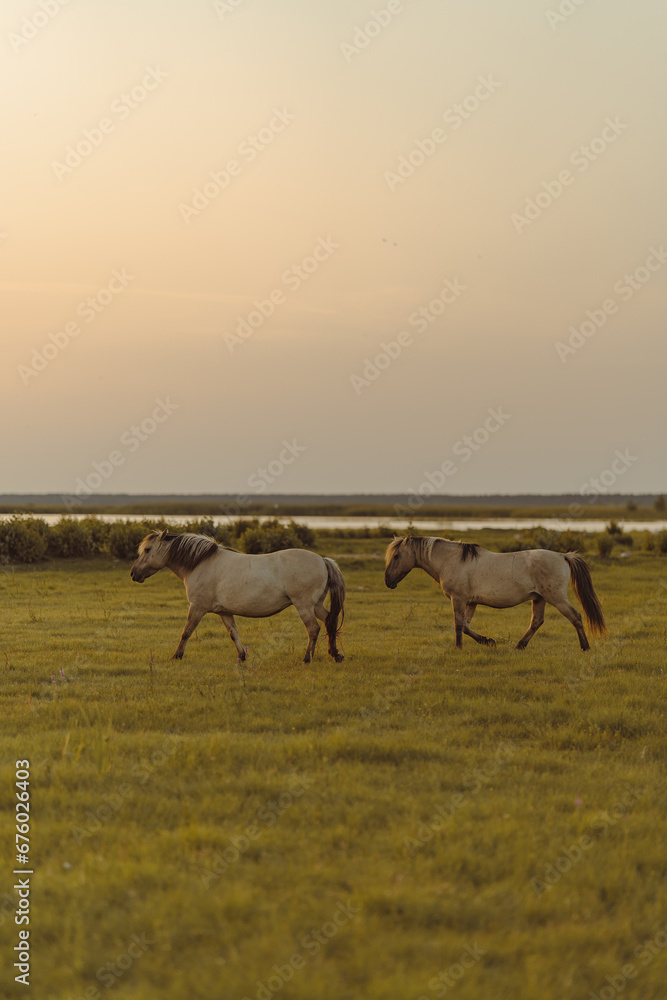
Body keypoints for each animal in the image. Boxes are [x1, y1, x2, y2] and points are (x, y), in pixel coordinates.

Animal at [132, 532, 348, 664]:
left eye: (148, 550)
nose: (133, 574)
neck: (201, 563)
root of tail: (322, 560)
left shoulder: (197, 607)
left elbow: (186, 632)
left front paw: (177, 656)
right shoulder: (224, 612)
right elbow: (233, 633)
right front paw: (242, 656)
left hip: (304, 605)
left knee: (313, 629)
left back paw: (307, 658)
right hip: (316, 605)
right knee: (330, 621)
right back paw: (335, 654)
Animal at [384, 536, 608, 652]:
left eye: (397, 556)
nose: (387, 581)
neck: (451, 560)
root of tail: (563, 555)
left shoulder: (459, 600)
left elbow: (458, 625)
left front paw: (458, 648)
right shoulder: (470, 602)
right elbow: (466, 626)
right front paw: (487, 641)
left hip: (556, 598)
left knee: (575, 617)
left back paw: (585, 647)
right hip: (540, 599)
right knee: (536, 622)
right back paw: (519, 645)